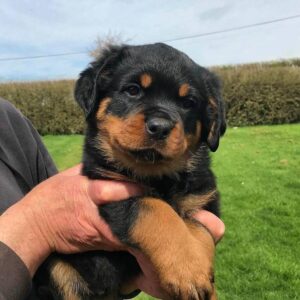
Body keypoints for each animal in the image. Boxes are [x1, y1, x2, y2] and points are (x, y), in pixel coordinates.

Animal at [40, 42, 227, 300]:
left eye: (188, 103)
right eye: (132, 90)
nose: (160, 127)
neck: (157, 176)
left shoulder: (203, 200)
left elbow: (201, 230)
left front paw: (198, 276)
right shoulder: (110, 190)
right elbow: (153, 208)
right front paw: (189, 269)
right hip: (57, 267)